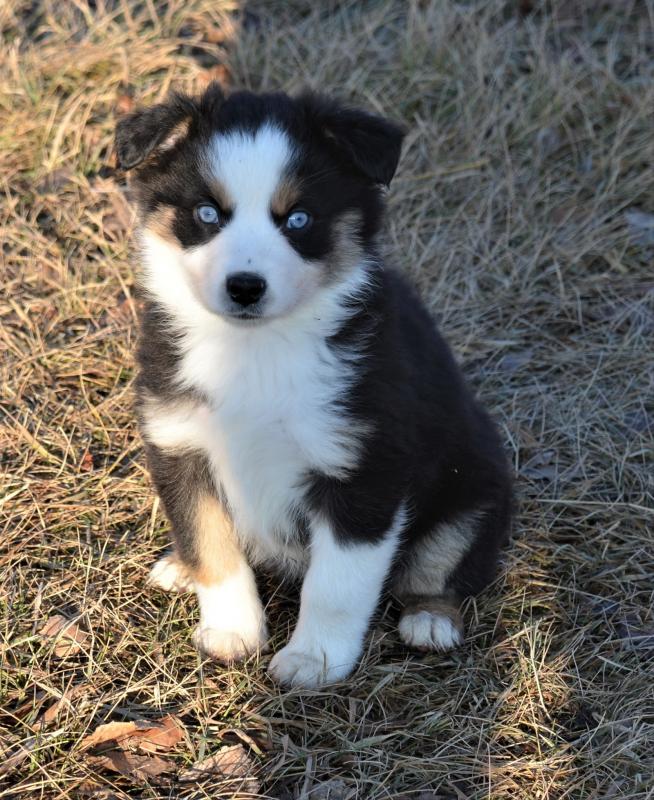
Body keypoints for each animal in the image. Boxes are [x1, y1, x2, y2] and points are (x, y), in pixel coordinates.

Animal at [115, 86, 516, 688]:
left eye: (298, 219)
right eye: (207, 214)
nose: (246, 288)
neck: (256, 349)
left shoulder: (363, 467)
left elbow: (336, 584)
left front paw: (314, 661)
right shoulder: (180, 444)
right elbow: (212, 543)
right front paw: (232, 632)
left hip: (473, 491)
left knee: (440, 568)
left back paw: (430, 621)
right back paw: (179, 567)